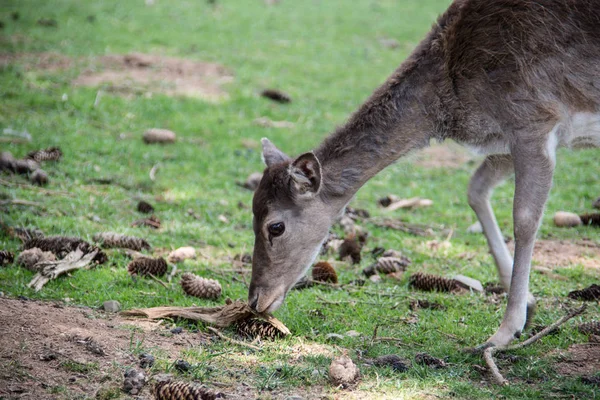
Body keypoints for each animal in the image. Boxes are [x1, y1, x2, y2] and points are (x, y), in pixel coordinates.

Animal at [246, 0, 596, 350]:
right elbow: (475, 188)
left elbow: (524, 220)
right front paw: (530, 305)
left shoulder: (533, 120)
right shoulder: (506, 140)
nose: (255, 300)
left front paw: (504, 331)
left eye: (275, 227)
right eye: (252, 215)